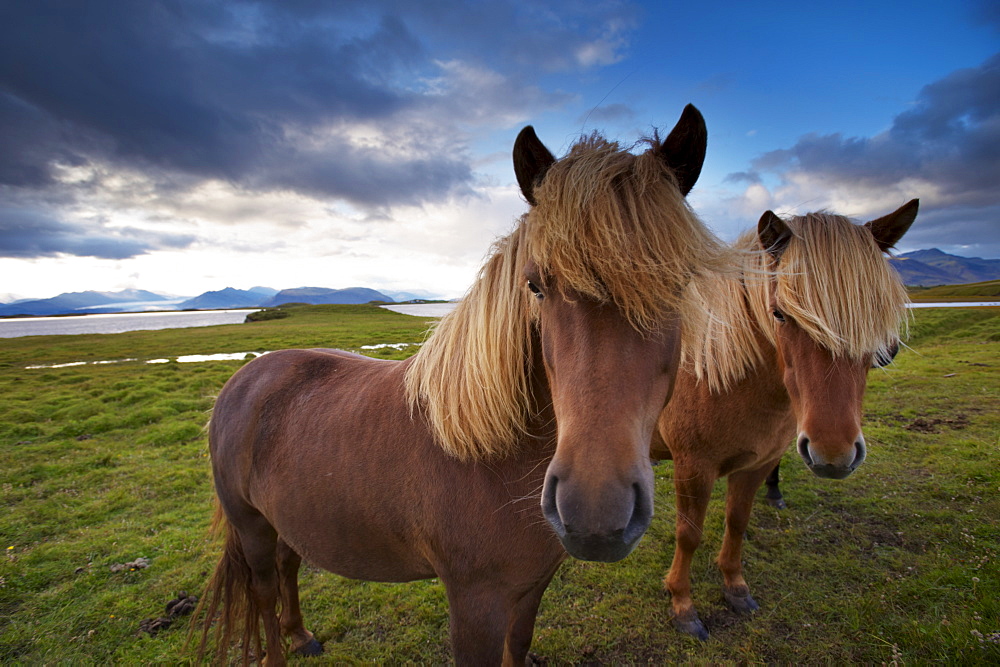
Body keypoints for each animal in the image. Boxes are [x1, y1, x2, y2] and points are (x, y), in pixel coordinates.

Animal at [197, 107, 728, 664]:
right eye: (535, 285)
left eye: (681, 283)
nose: (595, 513)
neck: (493, 456)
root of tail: (243, 379)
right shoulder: (475, 604)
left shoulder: (530, 588)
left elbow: (519, 644)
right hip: (251, 527)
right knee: (263, 593)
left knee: (289, 565)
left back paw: (301, 635)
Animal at [648, 200, 920, 640]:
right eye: (779, 314)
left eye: (876, 316)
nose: (833, 453)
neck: (723, 373)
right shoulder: (693, 468)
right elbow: (688, 535)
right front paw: (682, 604)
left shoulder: (756, 465)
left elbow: (737, 522)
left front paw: (735, 587)